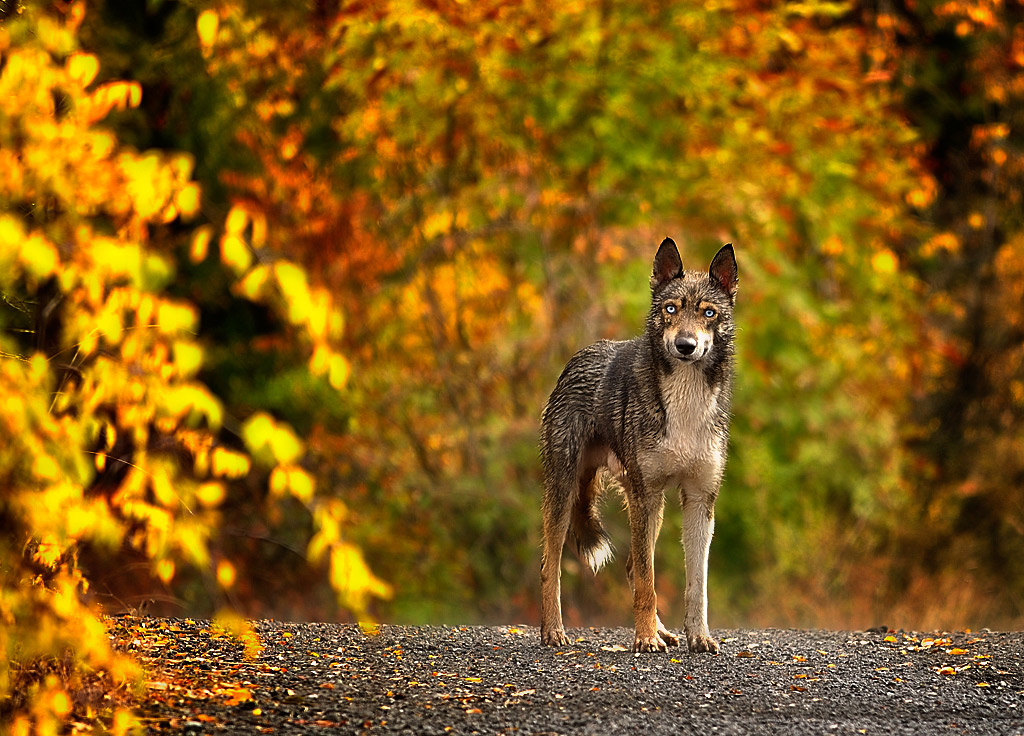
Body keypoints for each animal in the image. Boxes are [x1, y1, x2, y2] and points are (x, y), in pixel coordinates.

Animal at [544, 238, 737, 655]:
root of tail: (578, 357)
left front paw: (698, 637)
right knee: (551, 566)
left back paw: (665, 632)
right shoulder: (644, 495)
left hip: (655, 507)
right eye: (671, 309)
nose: (685, 345)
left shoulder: (699, 500)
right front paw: (644, 638)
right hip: (569, 494)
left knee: (633, 564)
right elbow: (649, 582)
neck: (685, 402)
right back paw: (553, 632)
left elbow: (696, 586)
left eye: (708, 313)